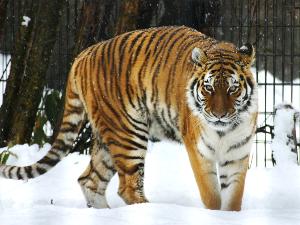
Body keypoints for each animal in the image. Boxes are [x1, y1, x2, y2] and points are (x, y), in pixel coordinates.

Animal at [0, 25, 258, 211]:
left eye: (233, 89)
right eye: (208, 88)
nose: (219, 115)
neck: (224, 130)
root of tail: (83, 55)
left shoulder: (237, 154)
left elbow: (233, 199)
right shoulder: (199, 151)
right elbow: (212, 196)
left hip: (107, 138)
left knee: (89, 179)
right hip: (127, 133)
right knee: (127, 186)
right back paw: (146, 212)